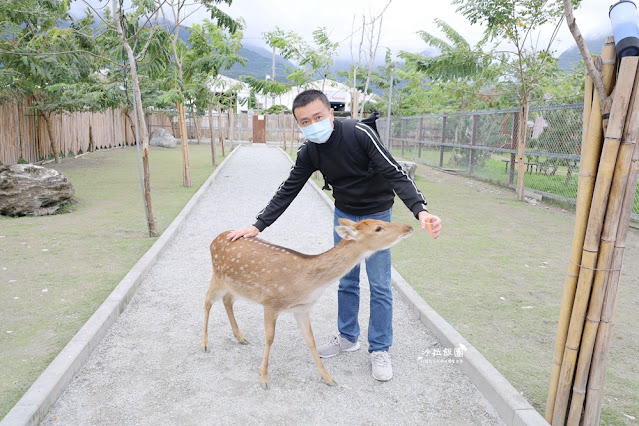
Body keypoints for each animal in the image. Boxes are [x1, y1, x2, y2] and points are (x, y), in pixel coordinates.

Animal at [204, 220, 416, 390]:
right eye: (378, 228)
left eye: (382, 220)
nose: (409, 226)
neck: (305, 284)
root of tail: (216, 238)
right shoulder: (270, 302)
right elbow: (270, 339)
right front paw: (264, 380)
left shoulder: (302, 308)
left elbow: (311, 341)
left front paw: (329, 378)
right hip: (218, 275)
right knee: (207, 301)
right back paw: (205, 344)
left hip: (234, 286)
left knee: (227, 301)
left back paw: (240, 337)